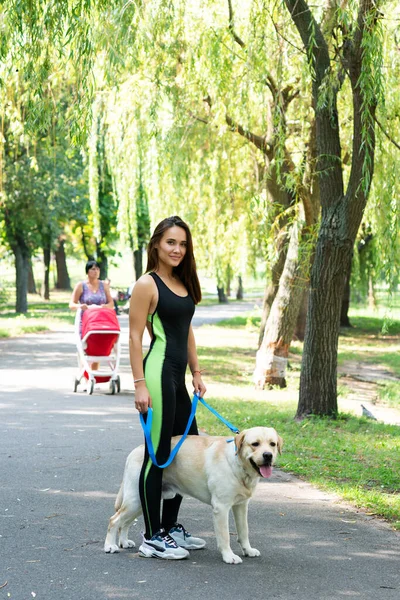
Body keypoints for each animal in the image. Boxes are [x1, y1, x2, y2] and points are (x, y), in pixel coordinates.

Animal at [104, 426, 282, 564]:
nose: (268, 455)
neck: (239, 466)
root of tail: (138, 449)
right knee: (114, 520)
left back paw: (124, 542)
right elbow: (224, 536)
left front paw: (248, 550)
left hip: (141, 502)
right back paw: (110, 546)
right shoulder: (221, 507)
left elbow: (244, 531)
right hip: (135, 499)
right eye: (255, 444)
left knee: (125, 522)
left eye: (272, 444)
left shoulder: (241, 506)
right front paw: (228, 556)